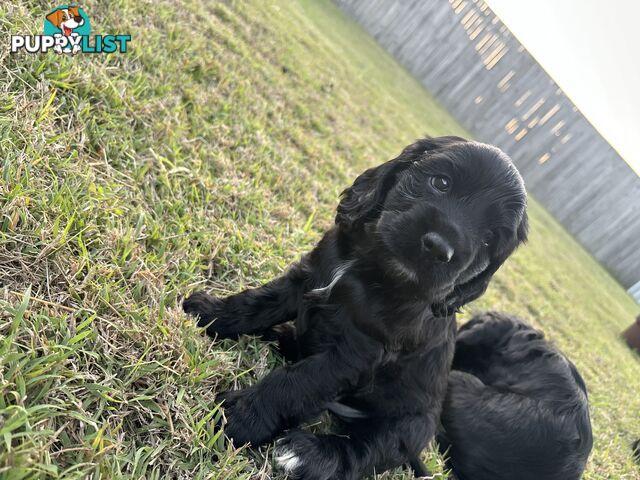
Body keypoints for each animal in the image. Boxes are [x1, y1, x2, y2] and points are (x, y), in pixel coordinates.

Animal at [182, 136, 528, 480]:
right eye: (441, 182)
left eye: (489, 240)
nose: (439, 248)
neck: (373, 266)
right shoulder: (306, 278)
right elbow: (258, 302)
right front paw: (207, 313)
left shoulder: (358, 351)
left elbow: (300, 380)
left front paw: (241, 416)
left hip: (410, 426)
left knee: (366, 448)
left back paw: (307, 454)